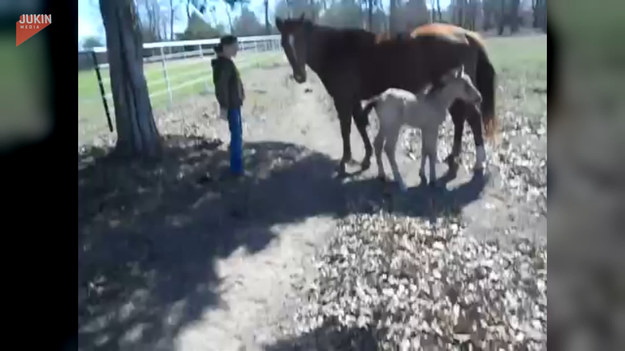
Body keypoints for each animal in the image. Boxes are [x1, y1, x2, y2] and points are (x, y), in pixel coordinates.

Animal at [276, 15, 494, 177]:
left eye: (302, 41)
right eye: (284, 43)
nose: (299, 76)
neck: (338, 50)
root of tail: (466, 34)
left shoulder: (343, 99)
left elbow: (346, 128)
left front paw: (345, 161)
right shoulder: (354, 99)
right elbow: (361, 124)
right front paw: (366, 158)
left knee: (473, 119)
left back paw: (479, 162)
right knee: (460, 120)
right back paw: (453, 156)